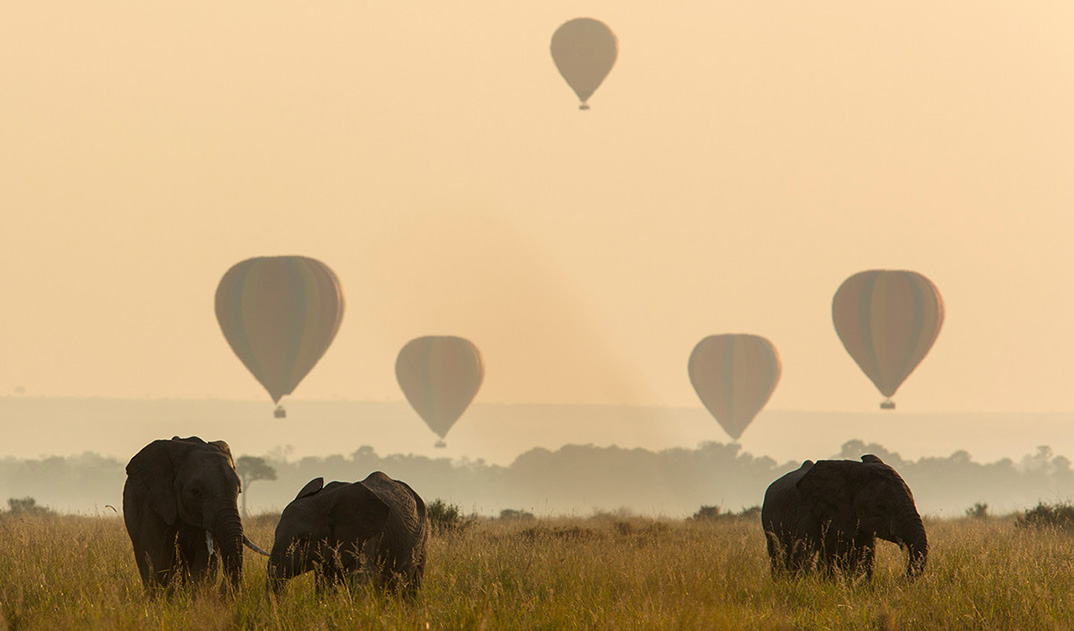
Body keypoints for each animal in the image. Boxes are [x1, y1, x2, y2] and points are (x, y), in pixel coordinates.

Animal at [267, 471, 429, 597]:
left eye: (304, 540)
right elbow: (324, 587)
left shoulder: (366, 538)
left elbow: (359, 582)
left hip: (424, 535)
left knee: (412, 584)